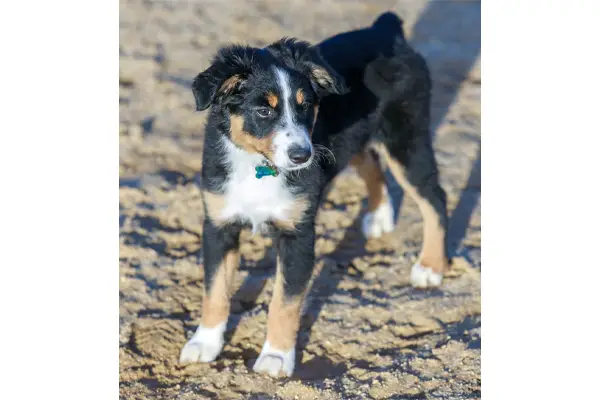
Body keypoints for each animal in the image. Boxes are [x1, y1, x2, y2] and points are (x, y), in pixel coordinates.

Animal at [178, 10, 450, 376]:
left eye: (305, 106)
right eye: (264, 110)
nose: (302, 156)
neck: (258, 165)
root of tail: (384, 30)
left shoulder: (299, 234)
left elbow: (284, 302)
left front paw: (276, 357)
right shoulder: (219, 225)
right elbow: (215, 290)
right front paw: (204, 343)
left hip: (405, 140)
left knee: (434, 198)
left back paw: (430, 267)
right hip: (355, 136)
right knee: (370, 163)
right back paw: (379, 216)